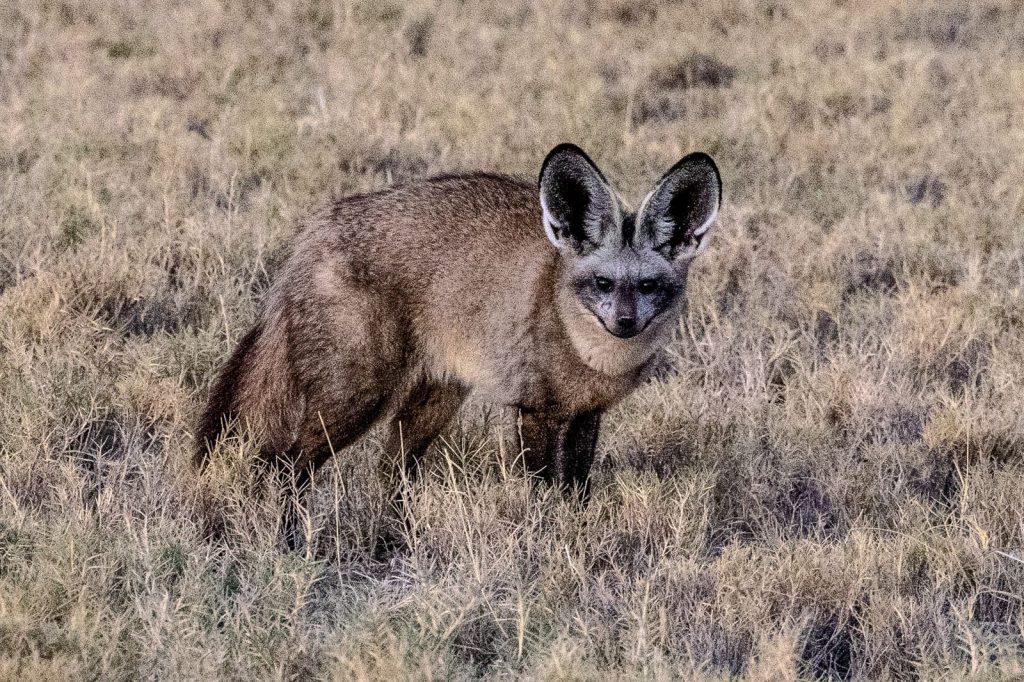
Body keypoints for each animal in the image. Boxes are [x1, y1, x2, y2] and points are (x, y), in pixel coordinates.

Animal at [195, 143, 722, 510]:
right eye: (603, 283)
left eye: (649, 286)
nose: (625, 323)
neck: (590, 357)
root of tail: (315, 228)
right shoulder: (535, 411)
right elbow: (543, 493)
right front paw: (546, 538)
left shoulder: (585, 414)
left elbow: (575, 491)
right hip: (355, 401)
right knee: (285, 467)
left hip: (432, 404)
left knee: (388, 473)